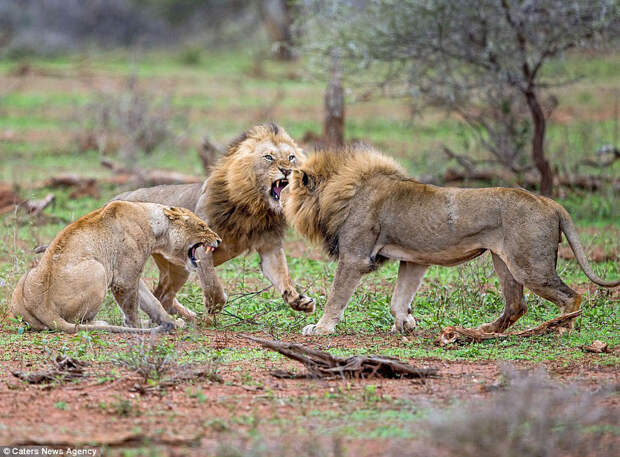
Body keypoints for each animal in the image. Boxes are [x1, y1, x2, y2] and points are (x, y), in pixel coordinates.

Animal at [10, 201, 222, 334]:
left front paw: (171, 322)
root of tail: (43, 307)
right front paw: (139, 328)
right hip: (98, 269)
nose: (219, 240)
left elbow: (153, 302)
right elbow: (132, 309)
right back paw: (102, 322)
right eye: (202, 226)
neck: (156, 227)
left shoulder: (133, 276)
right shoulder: (124, 280)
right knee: (78, 322)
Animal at [113, 122, 314, 320]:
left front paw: (299, 301)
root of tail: (120, 197)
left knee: (162, 296)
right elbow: (212, 284)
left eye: (291, 157)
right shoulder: (201, 245)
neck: (255, 208)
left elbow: (282, 276)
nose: (287, 171)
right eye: (269, 157)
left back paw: (187, 318)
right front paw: (212, 308)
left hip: (178, 268)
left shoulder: (270, 248)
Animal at [284, 145, 616, 334]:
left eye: (287, 184)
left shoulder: (354, 257)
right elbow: (398, 299)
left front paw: (320, 328)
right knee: (516, 305)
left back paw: (560, 329)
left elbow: (336, 297)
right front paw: (406, 325)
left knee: (572, 296)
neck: (342, 191)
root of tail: (551, 203)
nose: (278, 191)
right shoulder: (414, 260)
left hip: (529, 265)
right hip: (504, 261)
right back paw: (486, 330)